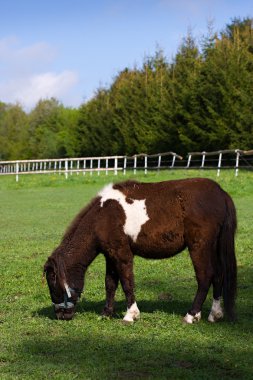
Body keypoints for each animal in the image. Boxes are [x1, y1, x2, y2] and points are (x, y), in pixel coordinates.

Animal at [44, 178, 237, 324]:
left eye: (52, 280)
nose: (61, 315)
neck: (101, 217)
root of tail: (221, 193)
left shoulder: (122, 254)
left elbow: (127, 282)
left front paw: (131, 315)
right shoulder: (110, 255)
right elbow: (110, 284)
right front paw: (106, 313)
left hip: (199, 247)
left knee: (205, 277)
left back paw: (191, 315)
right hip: (213, 247)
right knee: (218, 275)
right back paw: (214, 314)